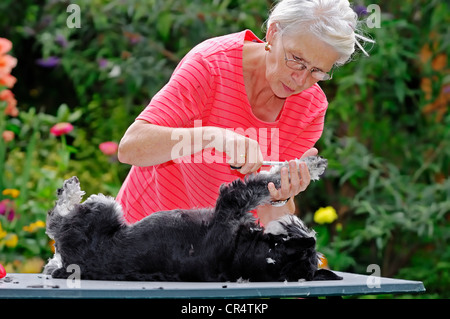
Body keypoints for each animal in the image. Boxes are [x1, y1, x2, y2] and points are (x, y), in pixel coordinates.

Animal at [44, 158, 342, 282]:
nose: (305, 227)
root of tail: (72, 263)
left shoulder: (232, 201)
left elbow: (263, 183)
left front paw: (309, 165)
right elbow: (264, 184)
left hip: (103, 210)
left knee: (56, 221)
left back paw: (69, 192)